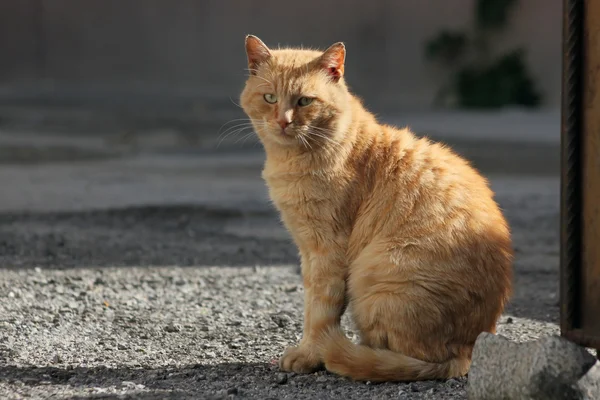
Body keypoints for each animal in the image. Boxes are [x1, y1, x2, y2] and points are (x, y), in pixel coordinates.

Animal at [239, 34, 510, 382]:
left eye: (304, 101)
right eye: (270, 97)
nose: (283, 122)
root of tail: (465, 353)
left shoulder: (327, 249)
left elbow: (319, 311)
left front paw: (309, 354)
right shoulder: (307, 251)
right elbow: (311, 303)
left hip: (374, 276)